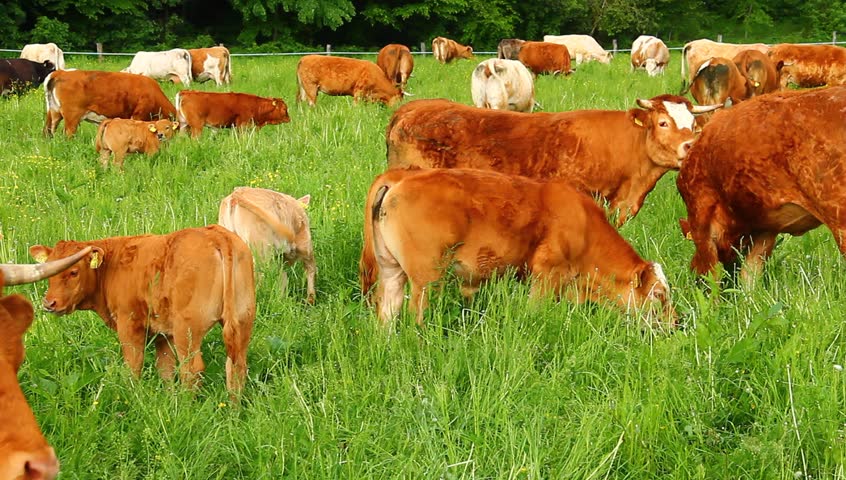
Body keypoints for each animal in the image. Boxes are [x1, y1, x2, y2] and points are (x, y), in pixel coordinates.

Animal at [29, 225, 257, 395]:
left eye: (74, 272)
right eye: (48, 270)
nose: (49, 303)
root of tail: (216, 234)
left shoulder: (128, 324)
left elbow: (133, 365)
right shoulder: (163, 333)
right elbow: (165, 368)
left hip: (187, 330)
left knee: (191, 369)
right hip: (242, 319)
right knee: (236, 366)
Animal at [43, 70, 176, 137]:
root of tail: (61, 72)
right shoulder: (138, 116)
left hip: (53, 112)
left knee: (48, 131)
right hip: (72, 117)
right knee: (68, 134)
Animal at [367, 168, 676, 329]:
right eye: (659, 295)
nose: (676, 323)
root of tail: (401, 176)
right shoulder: (546, 275)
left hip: (391, 272)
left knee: (387, 316)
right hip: (427, 280)